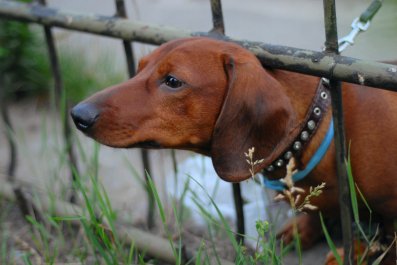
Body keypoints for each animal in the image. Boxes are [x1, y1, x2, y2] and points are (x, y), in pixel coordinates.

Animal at [72, 37, 396, 262]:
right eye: (139, 69)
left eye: (173, 81)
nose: (78, 114)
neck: (320, 123)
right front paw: (300, 229)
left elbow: (390, 241)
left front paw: (358, 250)